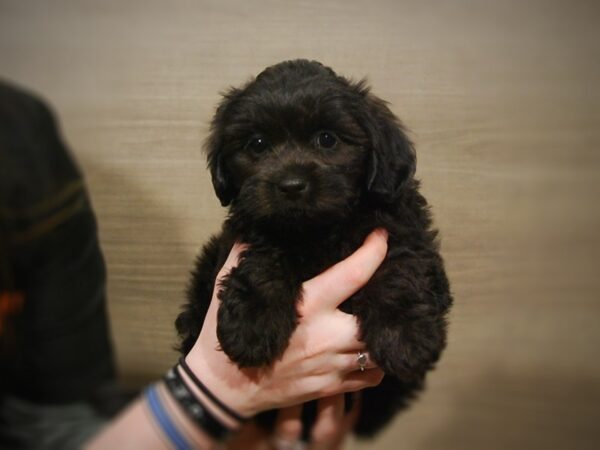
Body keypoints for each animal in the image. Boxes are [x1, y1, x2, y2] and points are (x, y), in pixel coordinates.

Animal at [176, 59, 452, 436]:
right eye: (257, 144)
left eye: (327, 139)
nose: (291, 185)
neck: (319, 230)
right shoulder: (251, 231)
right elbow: (264, 260)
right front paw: (251, 324)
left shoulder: (403, 231)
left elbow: (400, 267)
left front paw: (405, 337)